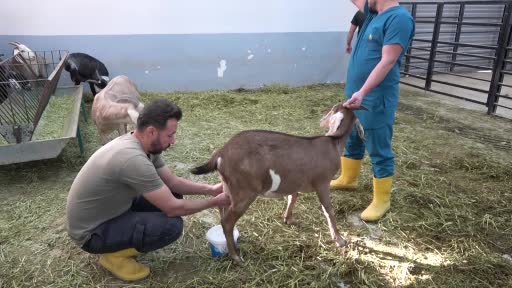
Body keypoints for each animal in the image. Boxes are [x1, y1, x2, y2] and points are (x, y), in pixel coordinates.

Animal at [191, 102, 364, 264]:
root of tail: (221, 152)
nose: (322, 120)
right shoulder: (322, 183)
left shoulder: (295, 182)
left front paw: (287, 219)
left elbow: (292, 197)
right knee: (227, 221)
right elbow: (328, 210)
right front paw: (340, 240)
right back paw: (236, 257)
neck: (333, 141)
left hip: (229, 186)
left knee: (221, 205)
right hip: (244, 191)